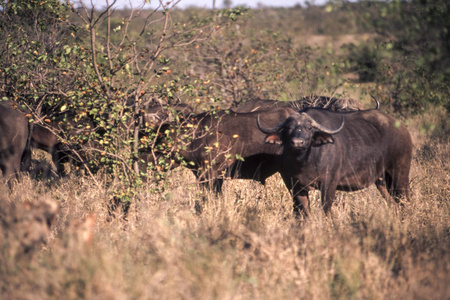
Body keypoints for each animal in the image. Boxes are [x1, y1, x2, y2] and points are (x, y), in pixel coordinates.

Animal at [258, 107, 414, 216]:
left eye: (309, 128)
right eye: (289, 128)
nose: (297, 142)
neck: (305, 163)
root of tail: (403, 129)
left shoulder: (329, 183)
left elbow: (326, 210)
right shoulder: (296, 187)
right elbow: (304, 212)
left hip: (400, 174)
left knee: (406, 199)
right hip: (382, 181)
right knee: (394, 203)